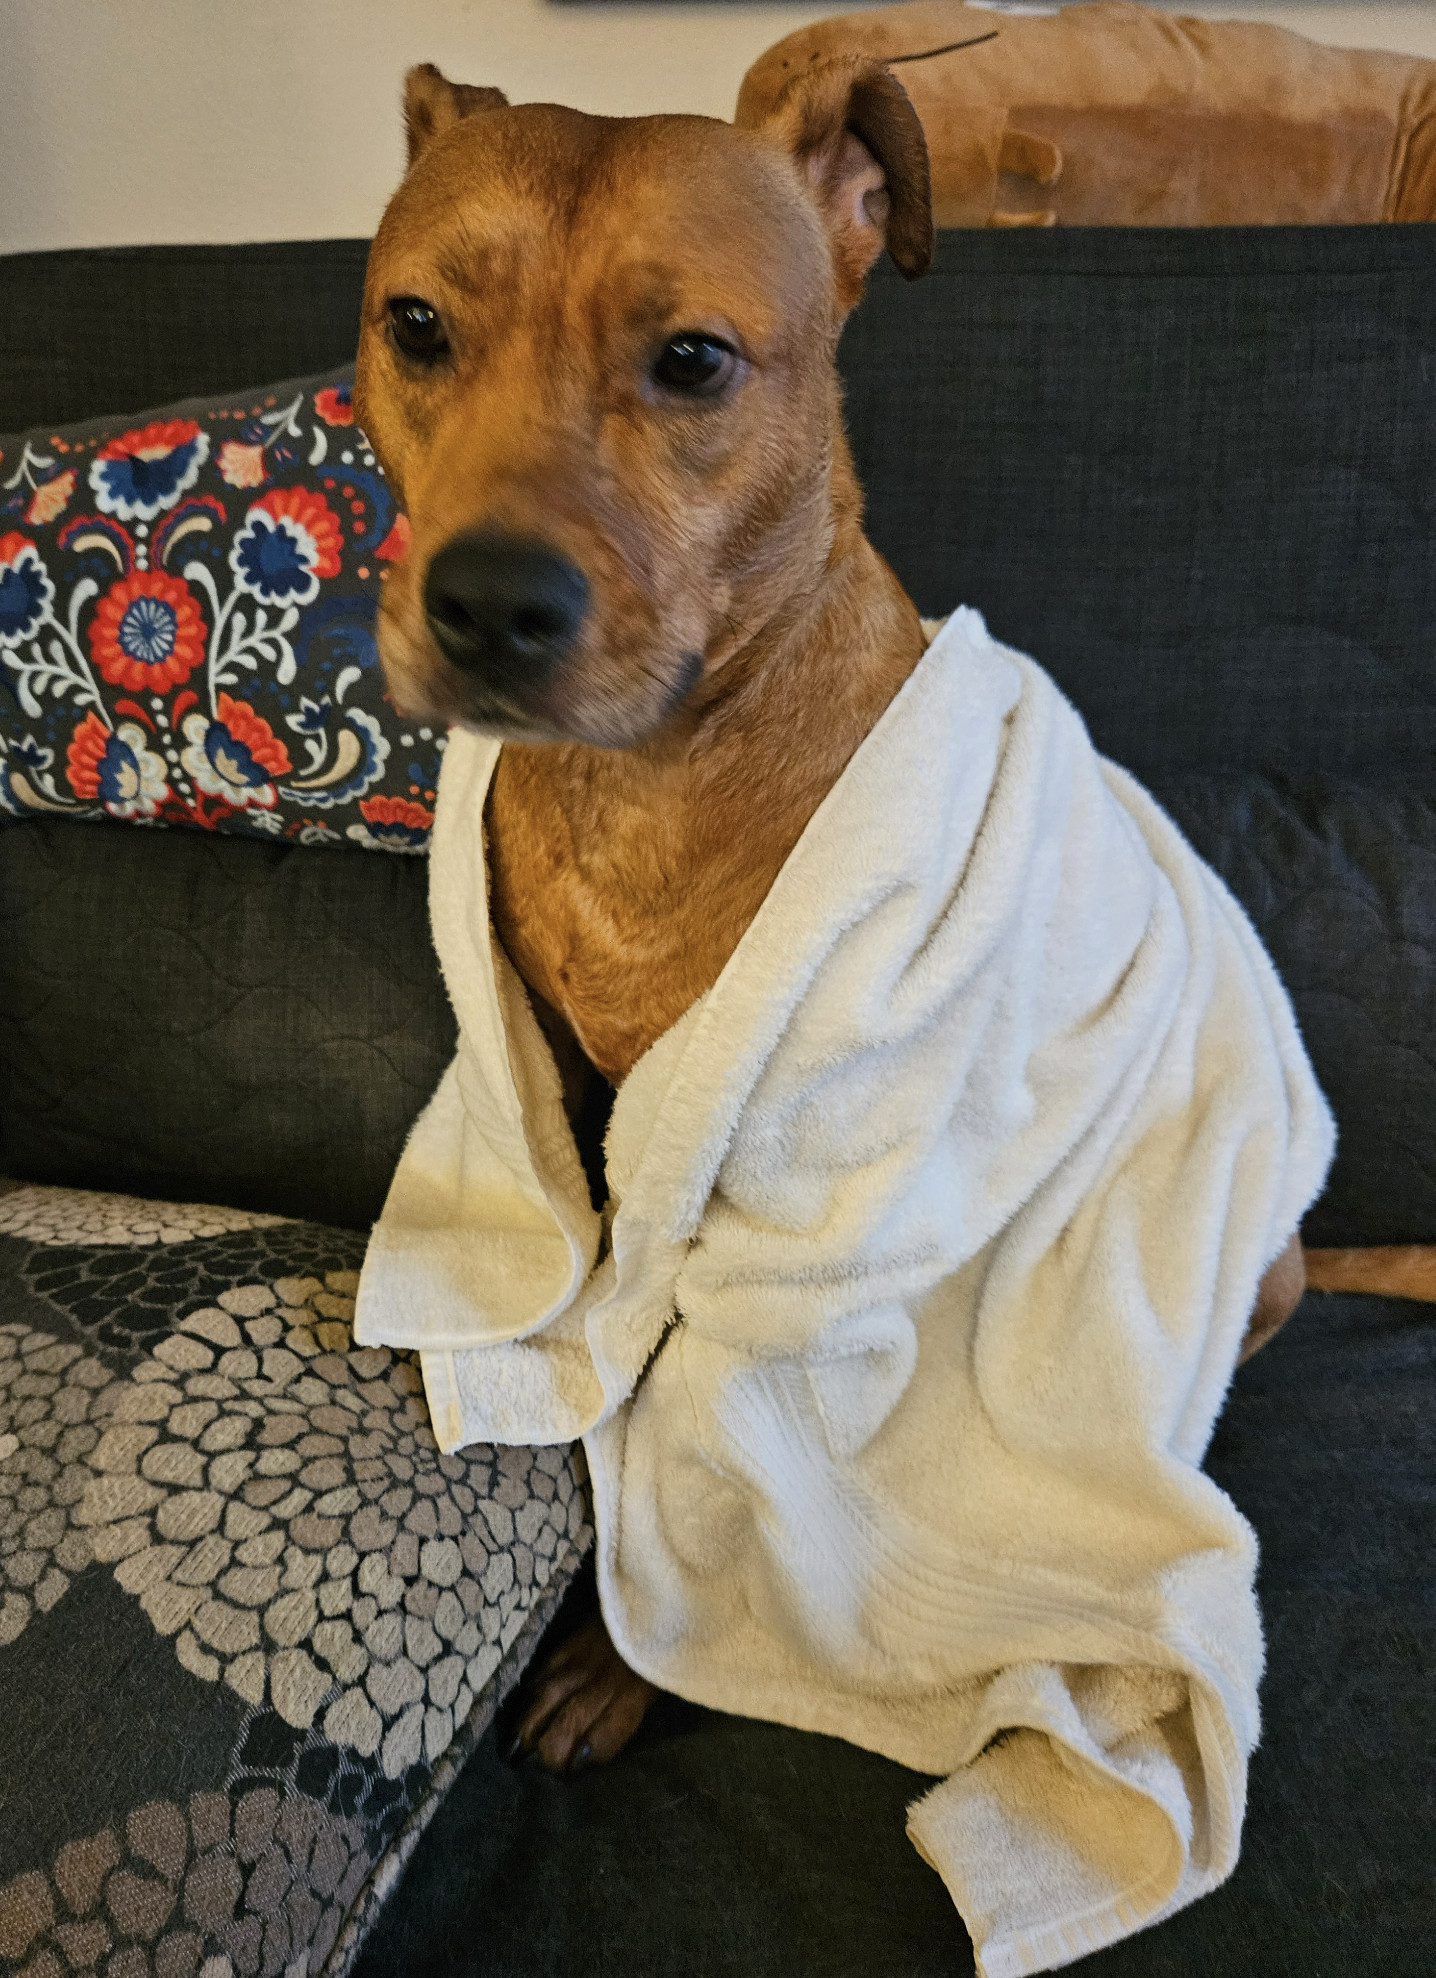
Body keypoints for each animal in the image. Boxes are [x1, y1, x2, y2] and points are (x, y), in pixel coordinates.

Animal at [354, 61, 1313, 1772]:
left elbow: (717, 1472)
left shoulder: (795, 1232)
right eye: (416, 325)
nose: (489, 602)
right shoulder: (575, 1093)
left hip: (1255, 1268)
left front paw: (631, 1666)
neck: (643, 779)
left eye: (693, 359)